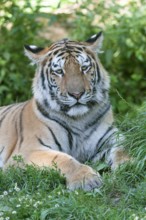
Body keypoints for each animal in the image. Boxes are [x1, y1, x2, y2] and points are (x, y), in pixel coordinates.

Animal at [0, 32, 129, 191]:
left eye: (84, 68)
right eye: (59, 71)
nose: (77, 94)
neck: (79, 119)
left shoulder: (111, 136)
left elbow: (125, 148)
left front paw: (129, 165)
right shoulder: (27, 151)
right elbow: (63, 159)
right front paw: (86, 179)